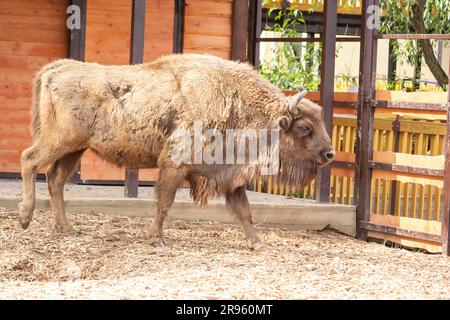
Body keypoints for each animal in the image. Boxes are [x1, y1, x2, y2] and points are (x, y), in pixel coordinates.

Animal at [18, 53, 334, 250]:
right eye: (304, 127)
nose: (329, 154)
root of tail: (56, 69)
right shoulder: (174, 165)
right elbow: (164, 203)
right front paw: (156, 240)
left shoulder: (230, 176)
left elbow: (245, 212)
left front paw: (258, 244)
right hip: (59, 141)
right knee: (29, 161)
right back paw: (25, 218)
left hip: (75, 149)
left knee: (55, 180)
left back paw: (67, 228)